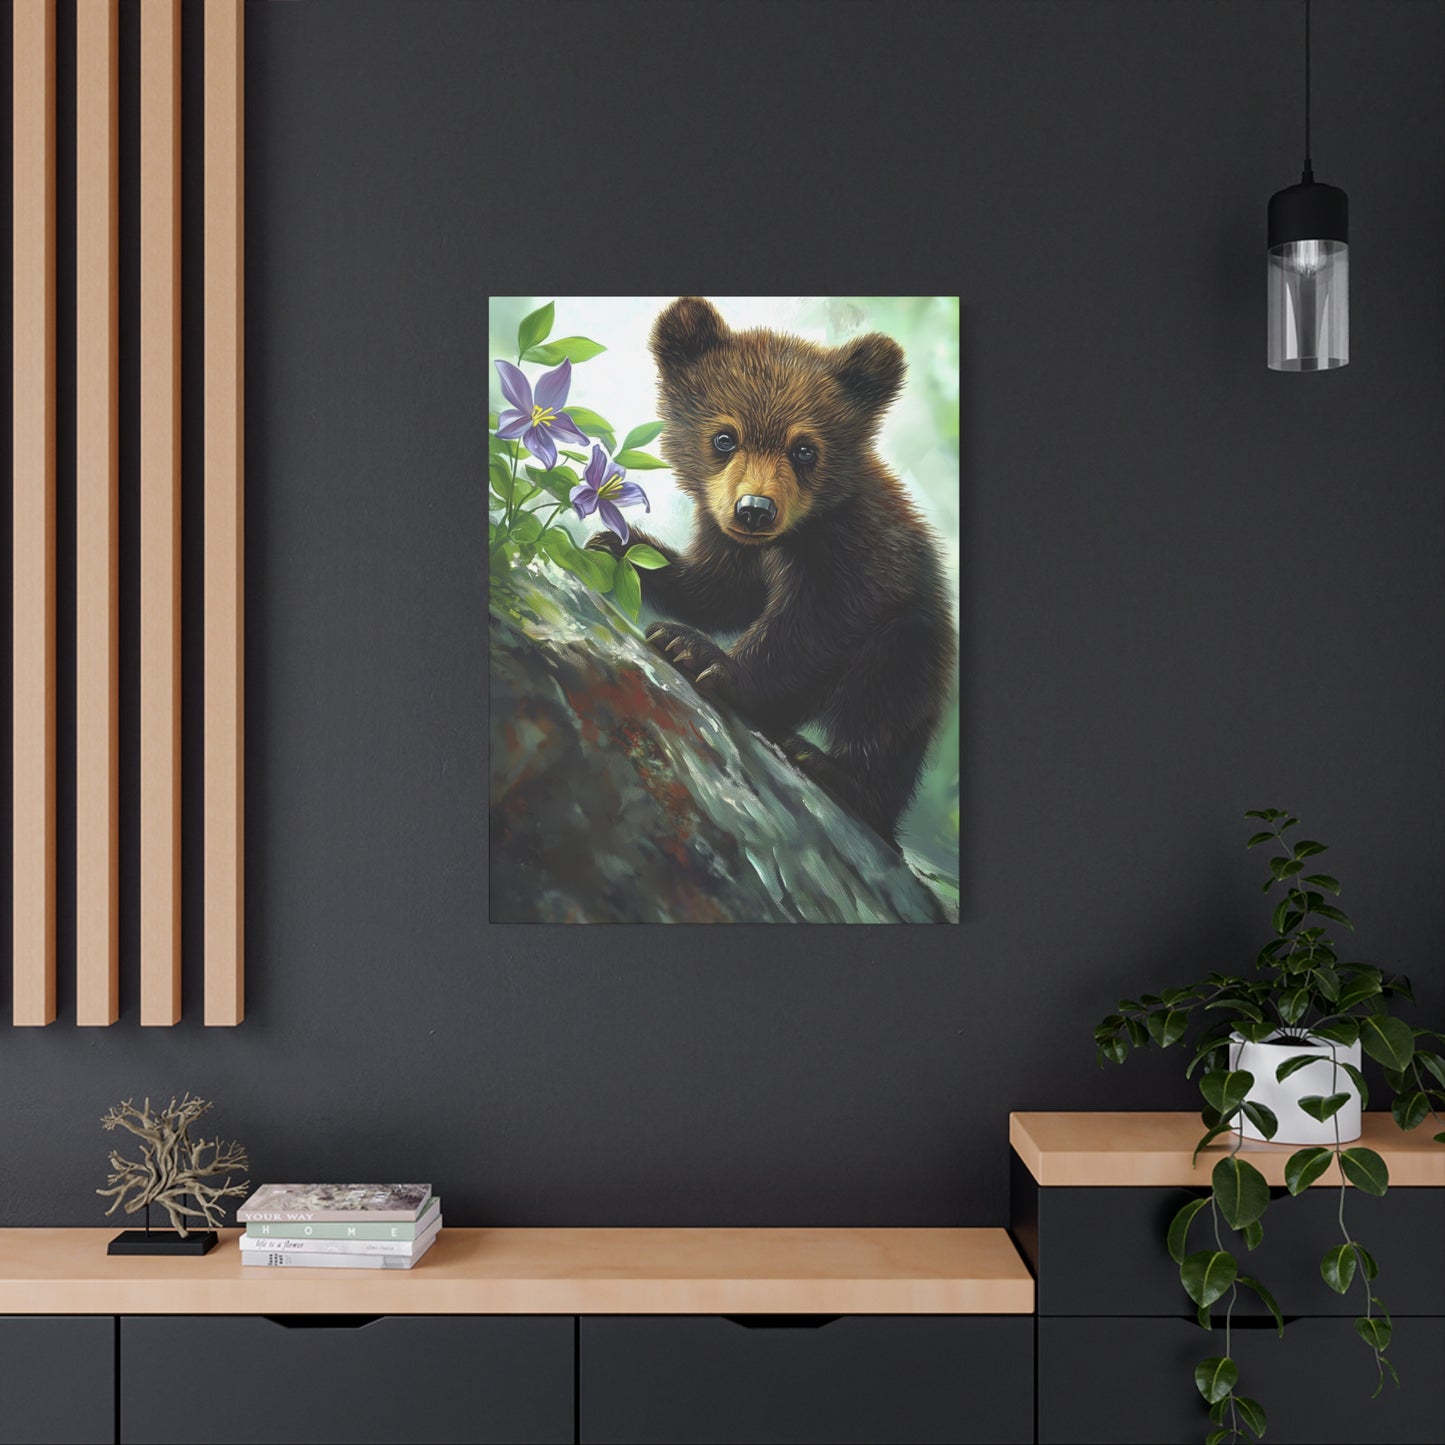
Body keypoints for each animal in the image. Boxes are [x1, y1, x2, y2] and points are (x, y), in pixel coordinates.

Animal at [588, 296, 954, 847]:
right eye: (724, 437)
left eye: (805, 449)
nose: (755, 509)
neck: (788, 539)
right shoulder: (729, 538)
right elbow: (718, 590)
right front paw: (619, 545)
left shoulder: (851, 552)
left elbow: (811, 625)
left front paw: (697, 651)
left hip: (915, 644)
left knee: (891, 689)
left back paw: (831, 768)